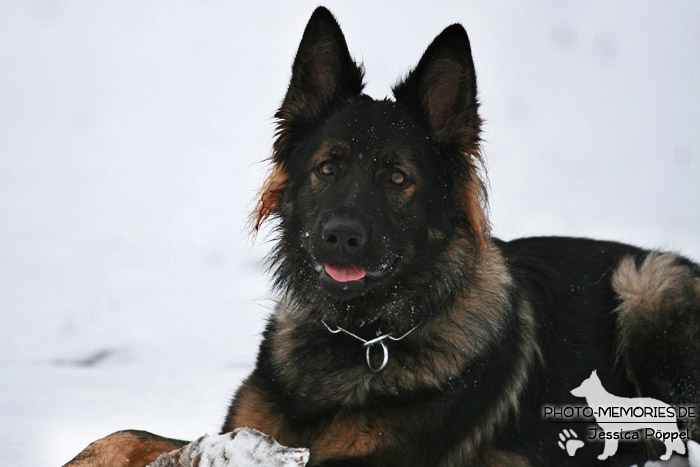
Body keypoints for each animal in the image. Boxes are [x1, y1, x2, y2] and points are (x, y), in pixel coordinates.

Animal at [65, 7, 700, 467]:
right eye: (326, 168)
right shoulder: (249, 425)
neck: (359, 336)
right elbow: (131, 434)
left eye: (398, 179)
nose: (340, 238)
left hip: (648, 286)